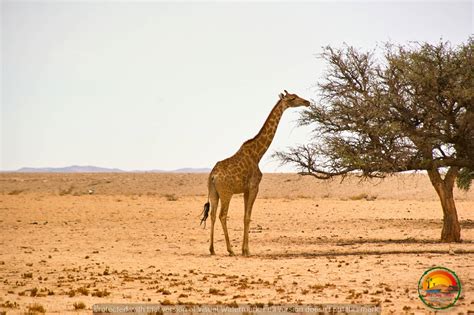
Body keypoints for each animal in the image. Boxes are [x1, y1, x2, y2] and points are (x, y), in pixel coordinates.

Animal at [200, 89, 312, 256]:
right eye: (292, 98)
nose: (307, 102)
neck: (258, 154)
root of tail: (213, 176)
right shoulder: (254, 187)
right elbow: (248, 217)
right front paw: (246, 251)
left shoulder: (246, 190)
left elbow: (245, 216)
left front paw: (244, 249)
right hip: (226, 193)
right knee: (222, 215)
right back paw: (230, 250)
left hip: (214, 192)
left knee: (213, 215)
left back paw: (212, 249)